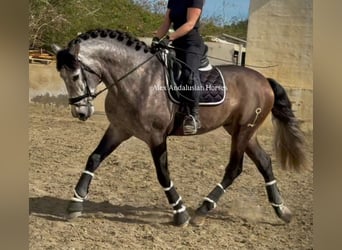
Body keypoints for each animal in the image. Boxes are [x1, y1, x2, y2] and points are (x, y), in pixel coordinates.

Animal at [52, 28, 308, 227]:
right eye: (62, 77)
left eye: (75, 76)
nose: (80, 113)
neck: (137, 79)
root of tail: (264, 80)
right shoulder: (119, 129)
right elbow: (94, 159)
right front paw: (76, 203)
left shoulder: (156, 136)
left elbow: (163, 173)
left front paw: (180, 213)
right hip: (241, 130)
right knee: (264, 162)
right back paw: (281, 210)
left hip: (244, 130)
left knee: (234, 168)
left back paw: (202, 211)